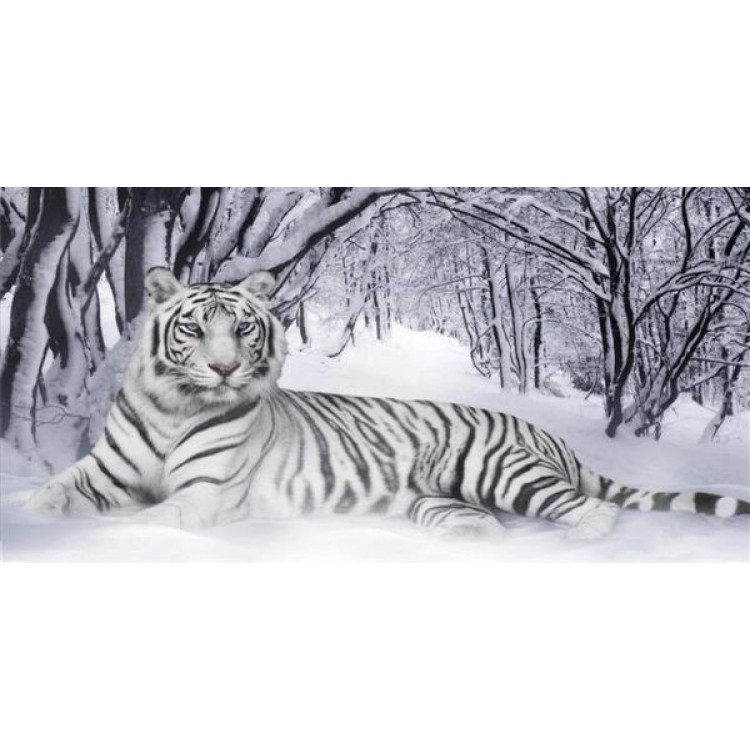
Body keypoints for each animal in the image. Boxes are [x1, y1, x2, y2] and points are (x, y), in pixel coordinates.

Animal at [25, 267, 750, 539]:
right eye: (194, 330)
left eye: (244, 329)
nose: (226, 367)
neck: (176, 406)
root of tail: (550, 436)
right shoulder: (102, 470)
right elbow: (52, 492)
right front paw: (29, 516)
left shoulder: (203, 494)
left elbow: (147, 519)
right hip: (440, 499)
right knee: (486, 523)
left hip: (497, 469)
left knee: (594, 510)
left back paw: (578, 541)